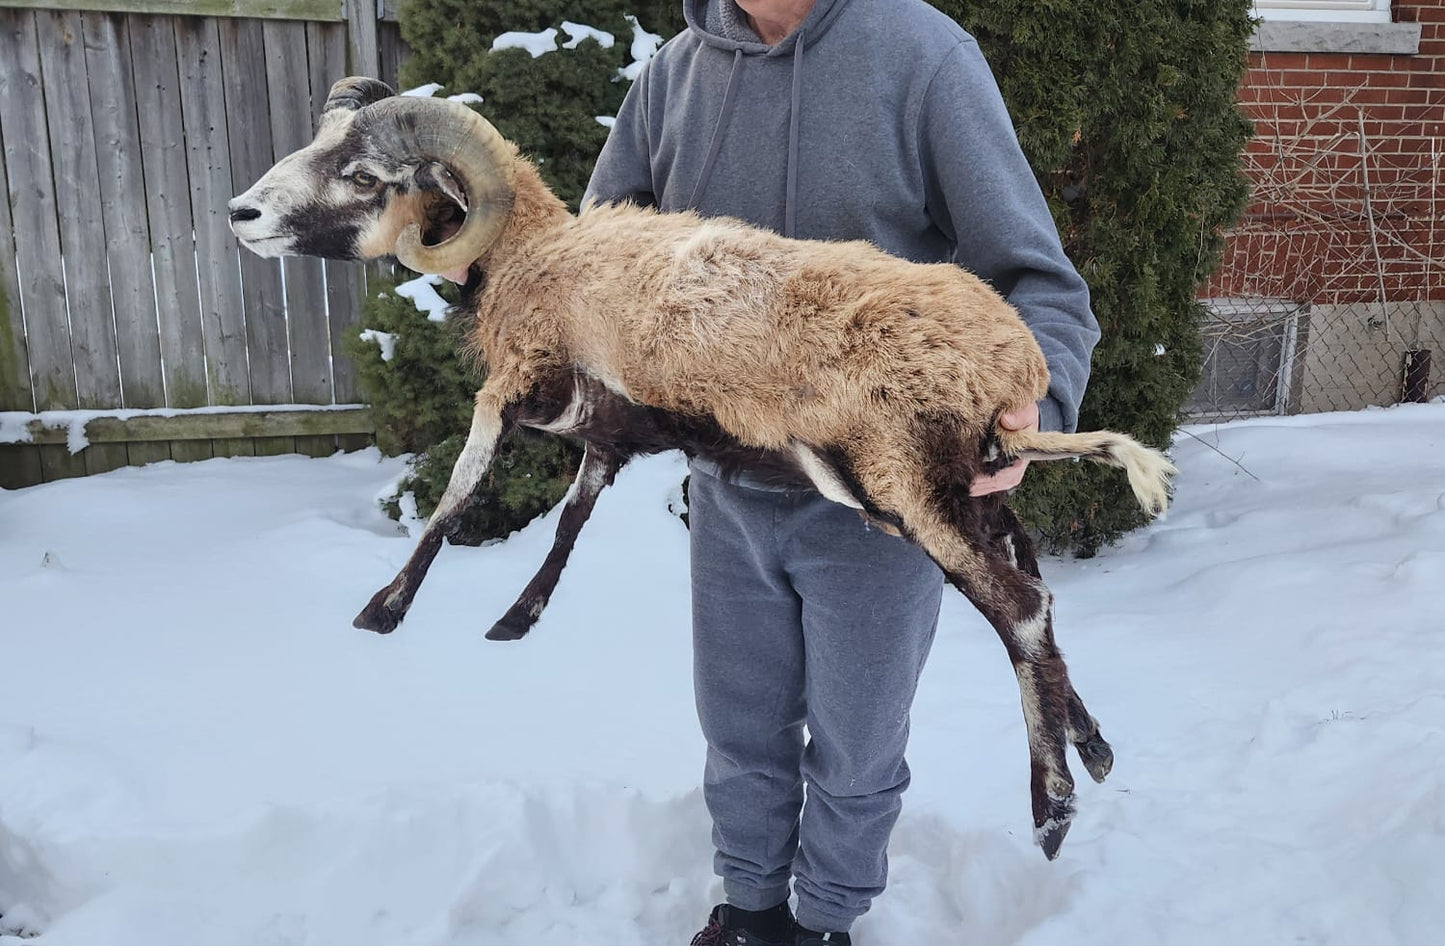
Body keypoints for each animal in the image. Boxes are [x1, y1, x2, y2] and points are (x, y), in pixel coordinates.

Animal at [229, 76, 1175, 860]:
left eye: (364, 175)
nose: (241, 213)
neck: (531, 257)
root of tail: (1012, 367)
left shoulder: (514, 388)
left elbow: (456, 496)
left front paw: (383, 611)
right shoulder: (608, 437)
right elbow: (569, 519)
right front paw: (515, 619)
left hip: (901, 479)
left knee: (1020, 608)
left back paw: (1050, 811)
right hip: (937, 491)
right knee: (1024, 566)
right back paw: (1092, 744)